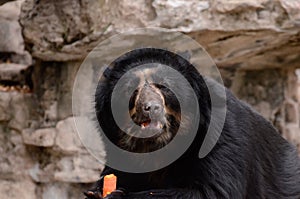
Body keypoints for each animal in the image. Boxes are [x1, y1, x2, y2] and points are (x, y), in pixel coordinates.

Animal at [84, 47, 300, 198]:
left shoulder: (219, 135)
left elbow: (213, 190)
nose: (150, 108)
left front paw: (117, 195)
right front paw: (98, 190)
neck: (158, 148)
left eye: (164, 86)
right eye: (130, 90)